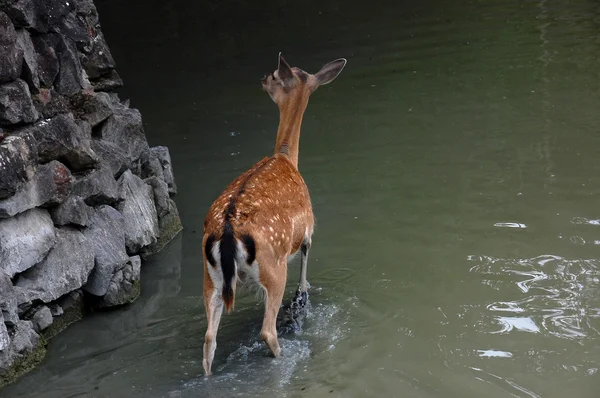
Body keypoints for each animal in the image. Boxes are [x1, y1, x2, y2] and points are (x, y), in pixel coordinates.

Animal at [200, 53, 344, 376]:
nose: (264, 78)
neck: (287, 156)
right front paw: (303, 295)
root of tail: (228, 234)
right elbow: (305, 266)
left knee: (209, 341)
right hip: (274, 267)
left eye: (275, 78)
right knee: (267, 330)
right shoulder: (308, 228)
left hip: (210, 277)